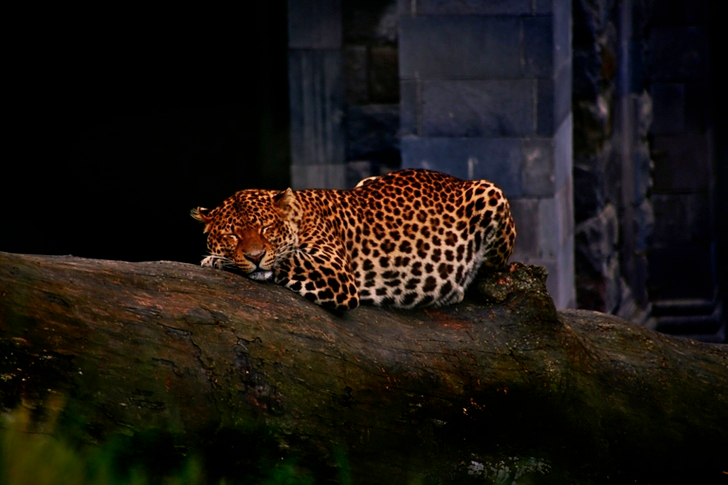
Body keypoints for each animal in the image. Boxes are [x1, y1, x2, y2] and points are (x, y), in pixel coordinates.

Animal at [192, 169, 516, 311]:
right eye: (232, 235)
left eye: (267, 228)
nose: (255, 256)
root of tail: (456, 179)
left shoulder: (334, 271)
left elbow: (286, 258)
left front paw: (215, 260)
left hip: (491, 193)